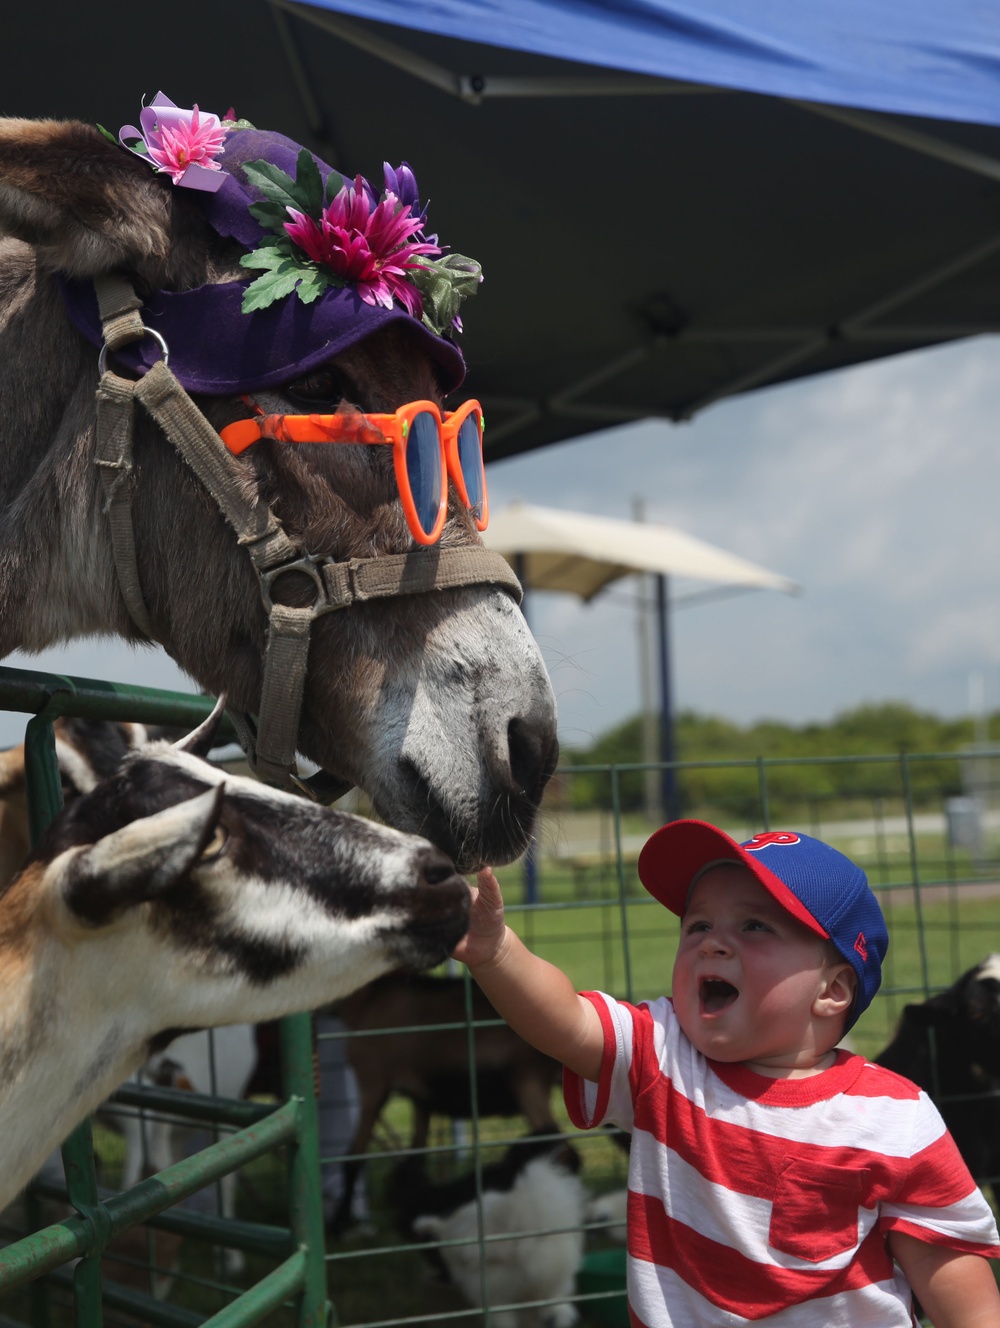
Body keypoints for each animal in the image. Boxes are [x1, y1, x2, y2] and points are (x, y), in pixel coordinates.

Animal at [328, 972, 563, 1227]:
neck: (372, 996)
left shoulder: (372, 1083)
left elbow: (353, 1156)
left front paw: (338, 1222)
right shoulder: (421, 1099)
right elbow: (416, 1156)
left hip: (528, 1084)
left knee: (552, 1138)